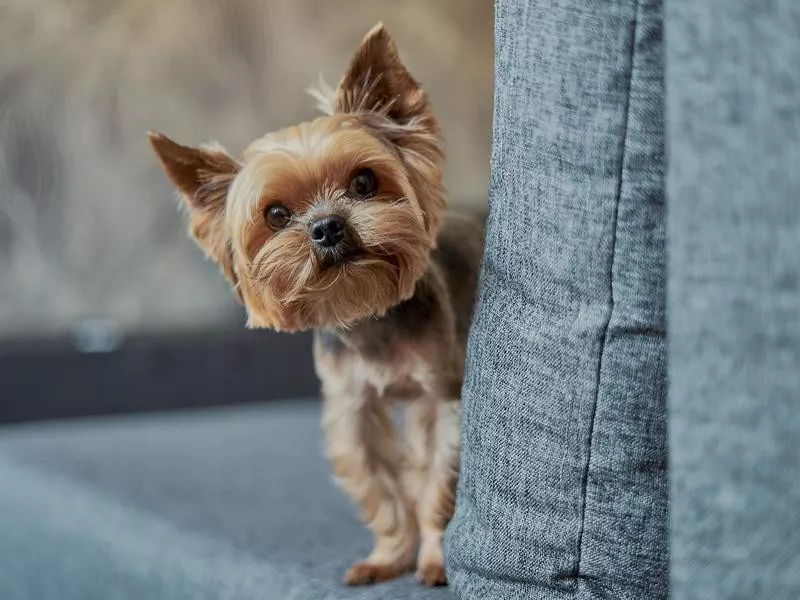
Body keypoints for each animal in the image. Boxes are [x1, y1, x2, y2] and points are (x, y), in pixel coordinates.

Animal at [148, 23, 482, 584]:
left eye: (364, 182)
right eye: (276, 214)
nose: (327, 227)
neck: (367, 315)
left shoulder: (441, 396)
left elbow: (438, 478)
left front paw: (434, 561)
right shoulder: (351, 409)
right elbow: (381, 489)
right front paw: (388, 558)